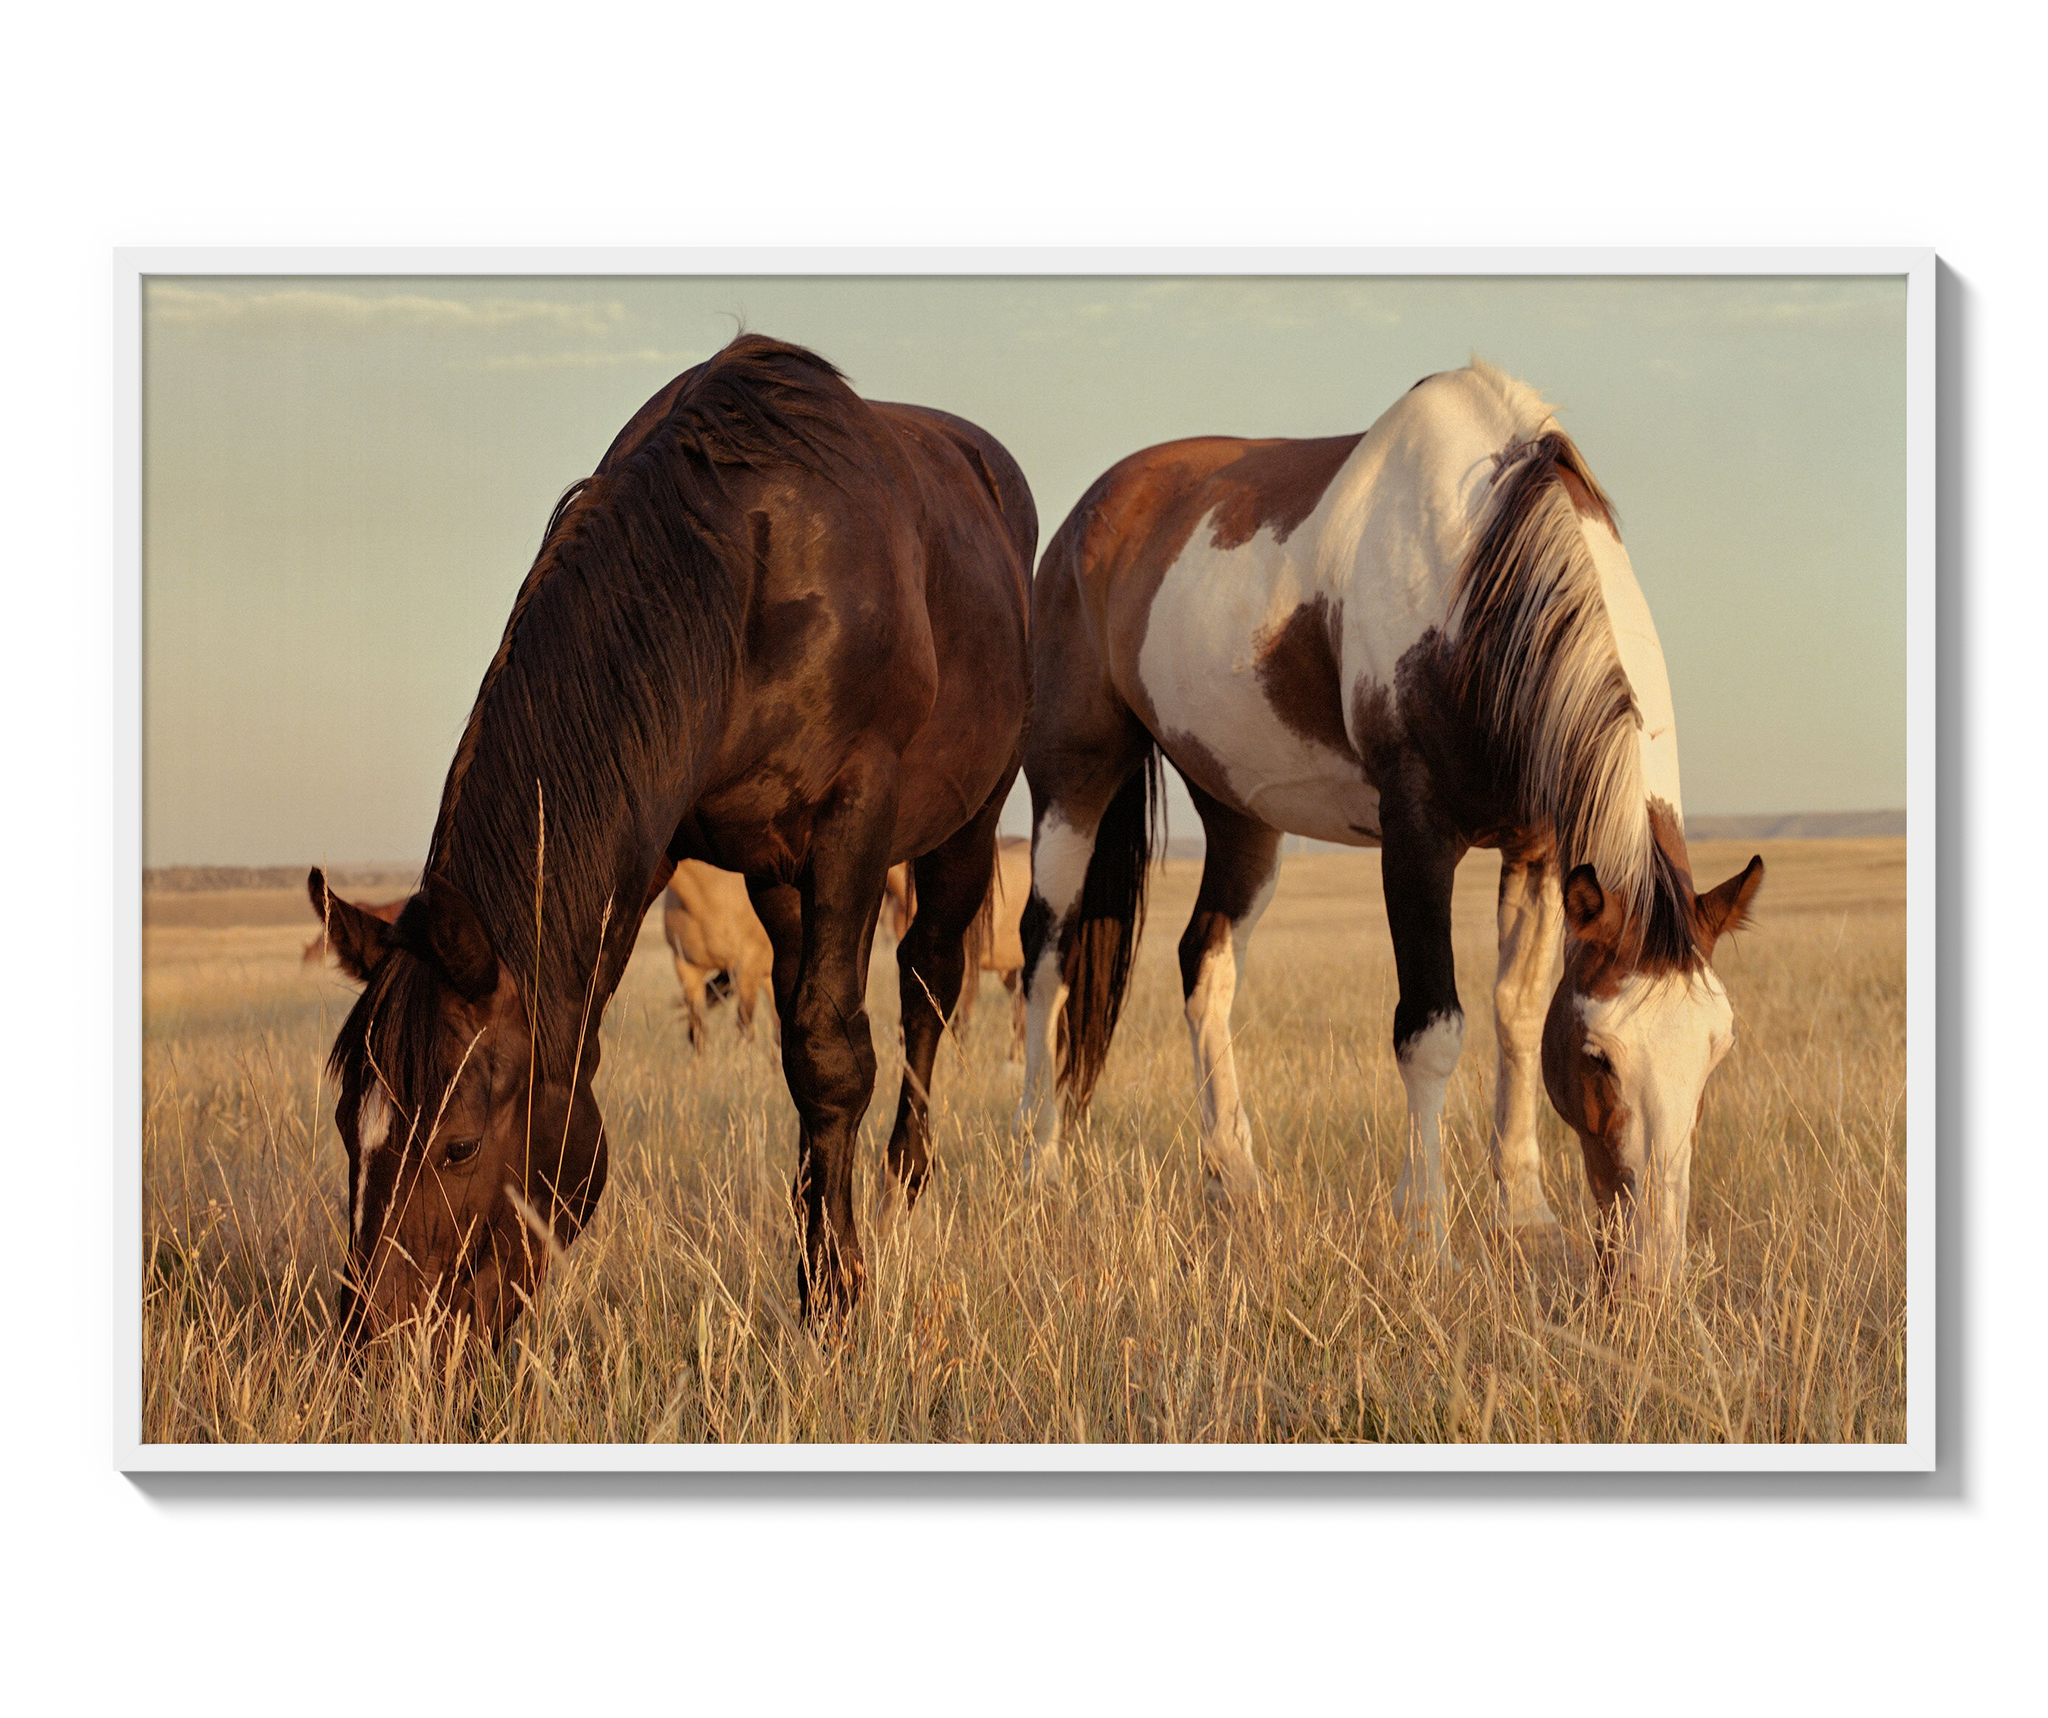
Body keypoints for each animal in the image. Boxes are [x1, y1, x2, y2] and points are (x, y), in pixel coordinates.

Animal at [1019, 360, 1761, 1294]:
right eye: (1598, 1056)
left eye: (1717, 1051)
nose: (1652, 1272)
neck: (1474, 571)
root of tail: (1087, 516)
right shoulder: (1417, 836)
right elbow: (1431, 1030)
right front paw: (1427, 1239)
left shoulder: (1537, 848)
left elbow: (1517, 1013)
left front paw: (1524, 1215)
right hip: (1072, 781)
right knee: (1045, 954)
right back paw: (1039, 1168)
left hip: (1240, 813)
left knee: (1205, 962)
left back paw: (1237, 1184)